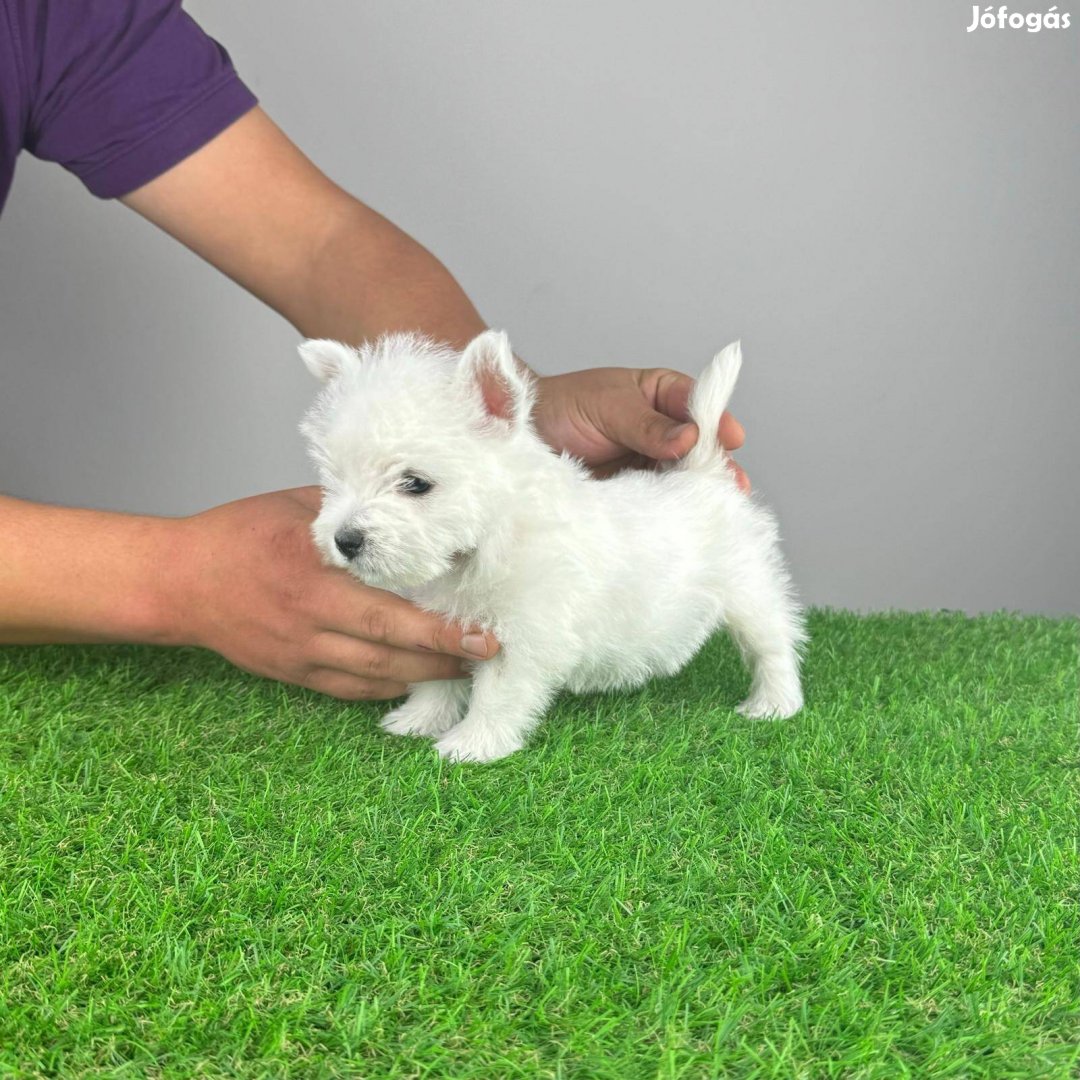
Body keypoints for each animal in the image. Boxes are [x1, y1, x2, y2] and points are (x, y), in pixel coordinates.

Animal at [300, 328, 807, 760]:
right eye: (334, 480)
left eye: (416, 483)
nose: (344, 540)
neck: (486, 543)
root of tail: (703, 473)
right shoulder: (446, 630)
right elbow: (435, 681)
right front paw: (418, 721)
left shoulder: (524, 638)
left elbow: (496, 695)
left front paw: (471, 745)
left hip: (750, 590)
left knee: (774, 645)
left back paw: (774, 704)